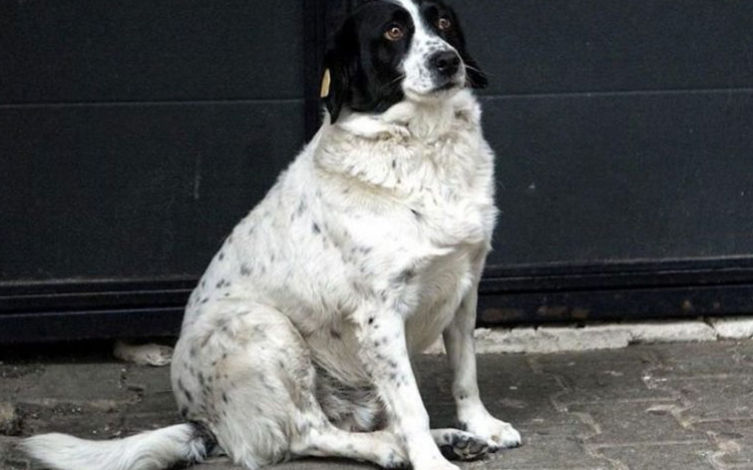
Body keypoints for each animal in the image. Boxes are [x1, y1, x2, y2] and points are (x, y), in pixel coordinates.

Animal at [22, 0, 516, 470]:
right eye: (394, 31)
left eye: (444, 22)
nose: (448, 61)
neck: (423, 146)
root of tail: (201, 421)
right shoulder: (380, 313)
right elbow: (411, 405)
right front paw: (429, 462)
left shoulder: (465, 286)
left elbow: (465, 373)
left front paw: (480, 425)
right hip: (262, 327)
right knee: (307, 432)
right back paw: (392, 449)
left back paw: (451, 439)